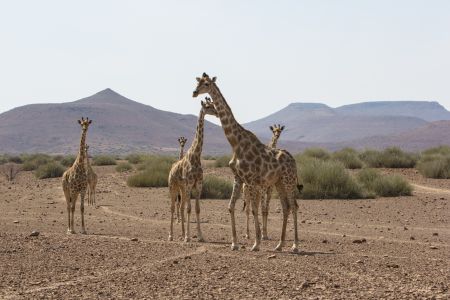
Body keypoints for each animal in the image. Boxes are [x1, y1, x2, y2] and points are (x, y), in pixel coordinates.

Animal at [168, 97, 219, 243]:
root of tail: (171, 169)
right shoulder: (190, 184)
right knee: (173, 207)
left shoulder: (198, 184)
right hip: (173, 186)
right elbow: (189, 209)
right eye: (208, 106)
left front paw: (200, 236)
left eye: (213, 104)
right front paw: (188, 237)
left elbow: (196, 209)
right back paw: (171, 235)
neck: (196, 155)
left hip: (182, 188)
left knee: (181, 207)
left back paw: (182, 233)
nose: (217, 113)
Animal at [192, 74, 300, 252]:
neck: (235, 143)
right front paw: (234, 243)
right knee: (286, 207)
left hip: (288, 180)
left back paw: (295, 245)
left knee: (294, 205)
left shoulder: (250, 180)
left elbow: (255, 209)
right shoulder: (238, 178)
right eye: (197, 82)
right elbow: (231, 206)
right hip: (278, 182)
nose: (194, 92)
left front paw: (256, 243)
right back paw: (279, 245)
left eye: (206, 84)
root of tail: (294, 160)